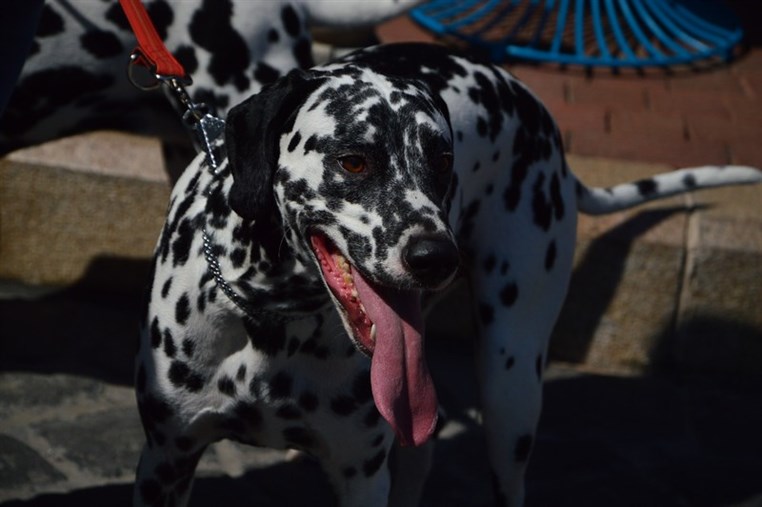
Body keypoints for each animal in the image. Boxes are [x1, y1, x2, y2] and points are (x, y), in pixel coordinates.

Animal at [137, 43, 760, 507]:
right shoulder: (166, 462)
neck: (271, 322)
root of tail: (536, 108)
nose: (436, 256)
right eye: (354, 160)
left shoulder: (362, 477)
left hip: (511, 391)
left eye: (441, 160)